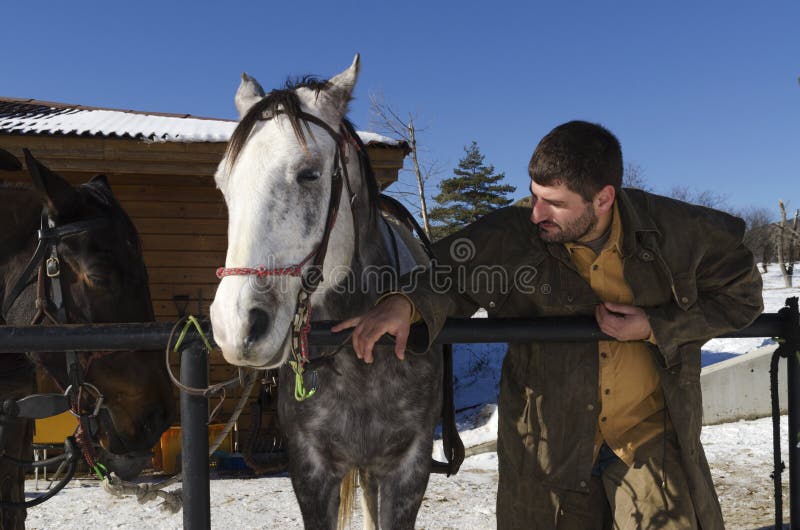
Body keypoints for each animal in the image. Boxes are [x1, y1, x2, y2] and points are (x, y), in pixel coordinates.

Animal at [209, 55, 440, 524]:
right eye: (223, 184)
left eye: (309, 174)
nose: (234, 327)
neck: (359, 355)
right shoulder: (310, 470)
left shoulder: (409, 470)